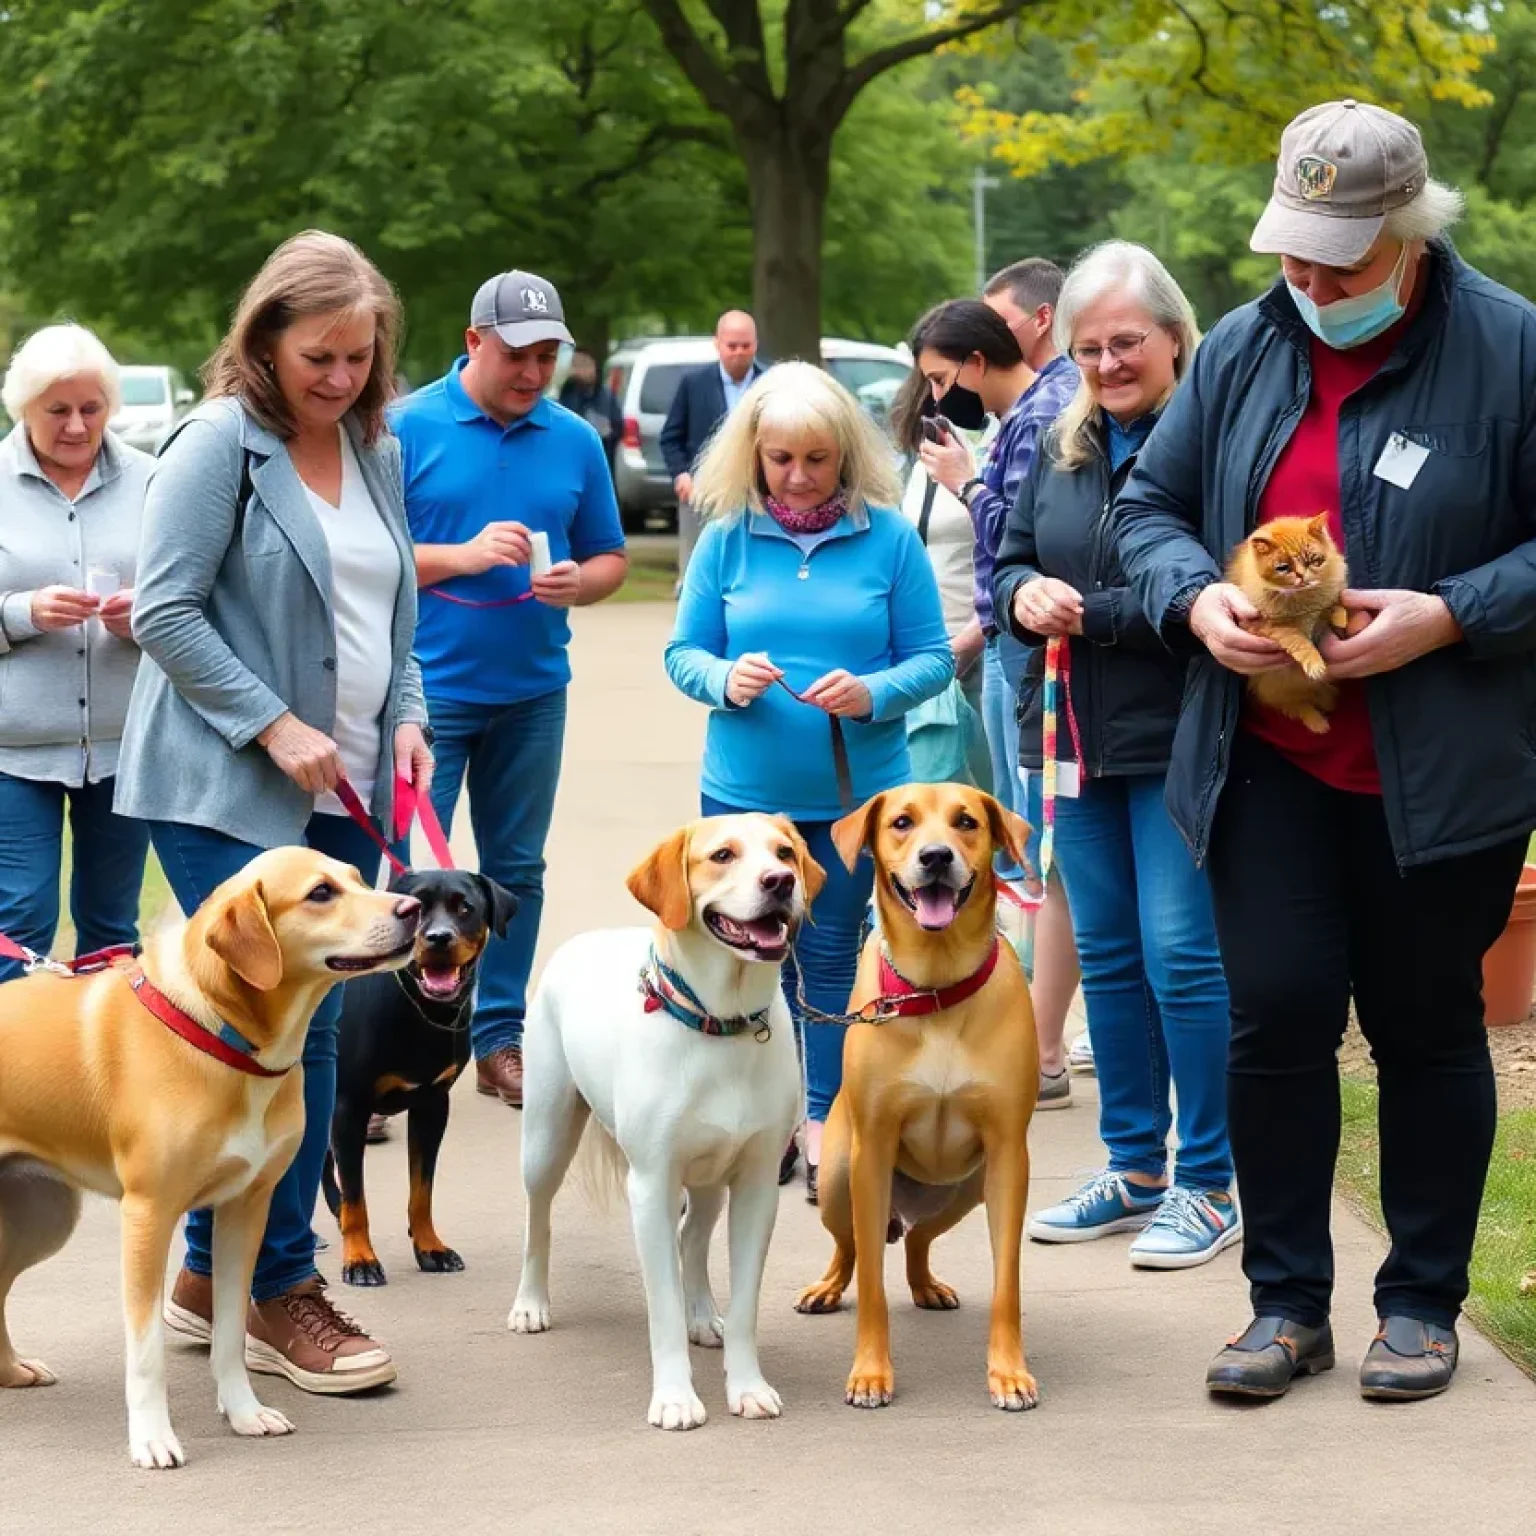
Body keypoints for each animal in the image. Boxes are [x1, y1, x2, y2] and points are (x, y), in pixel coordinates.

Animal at [0, 847, 420, 1468]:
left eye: (359, 879)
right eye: (321, 893)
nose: (412, 909)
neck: (219, 1034)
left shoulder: (245, 1211)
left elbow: (228, 1334)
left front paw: (244, 1413)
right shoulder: (147, 1217)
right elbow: (146, 1353)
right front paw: (152, 1437)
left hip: (41, 1217)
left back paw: (10, 1370)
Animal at [322, 872, 516, 1290]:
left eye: (465, 907)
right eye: (418, 907)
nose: (439, 938)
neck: (420, 1010)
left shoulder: (432, 1105)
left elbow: (421, 1192)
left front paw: (430, 1247)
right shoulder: (349, 1108)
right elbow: (357, 1198)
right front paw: (360, 1259)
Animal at [513, 817, 829, 1425]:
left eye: (784, 852)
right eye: (723, 855)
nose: (780, 882)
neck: (720, 1024)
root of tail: (580, 941)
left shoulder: (756, 1185)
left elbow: (745, 1303)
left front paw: (747, 1385)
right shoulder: (651, 1185)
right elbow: (660, 1307)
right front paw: (676, 1398)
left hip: (709, 1177)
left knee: (693, 1237)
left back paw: (701, 1313)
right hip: (545, 1136)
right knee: (538, 1221)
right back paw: (530, 1303)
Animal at [792, 792, 1044, 1413]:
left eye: (966, 822)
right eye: (901, 822)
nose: (935, 856)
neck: (934, 987)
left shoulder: (1009, 1157)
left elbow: (1006, 1282)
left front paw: (1008, 1372)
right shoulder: (872, 1151)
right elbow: (872, 1286)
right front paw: (870, 1373)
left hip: (967, 1191)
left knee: (917, 1240)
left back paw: (926, 1282)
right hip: (838, 1177)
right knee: (852, 1245)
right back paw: (829, 1286)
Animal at [1222, 513, 1345, 734]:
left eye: (1313, 560)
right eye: (1283, 568)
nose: (1302, 576)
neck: (1303, 597)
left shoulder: (1328, 602)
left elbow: (1335, 607)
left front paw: (1341, 617)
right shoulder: (1265, 626)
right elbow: (1298, 639)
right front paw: (1315, 663)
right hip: (1275, 689)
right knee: (1296, 705)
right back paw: (1318, 722)